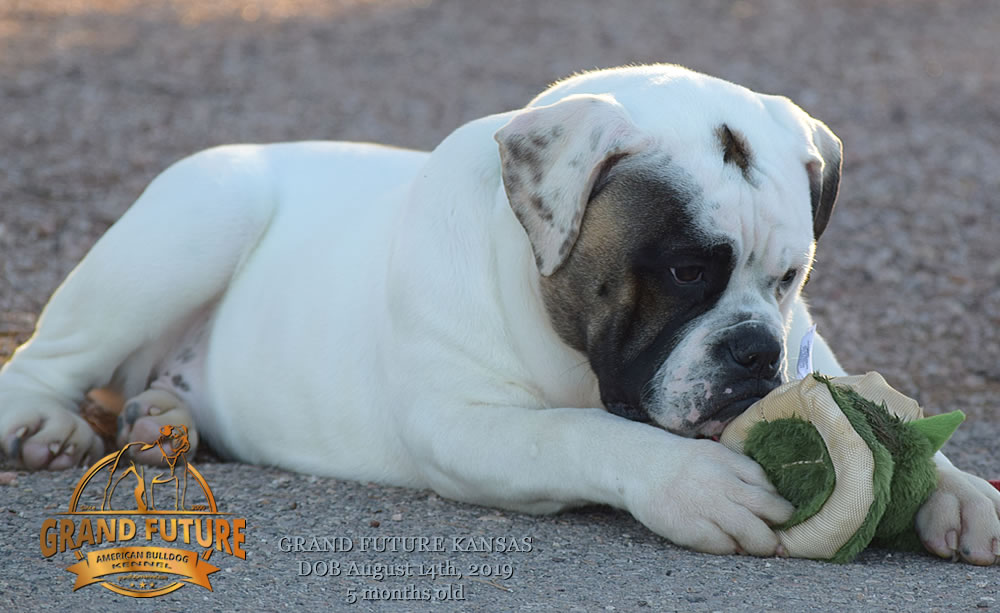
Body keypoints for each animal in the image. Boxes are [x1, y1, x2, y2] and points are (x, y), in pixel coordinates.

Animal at [3, 64, 996, 560]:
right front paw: (694, 487)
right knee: (44, 360)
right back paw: (52, 426)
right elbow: (578, 434)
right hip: (203, 210)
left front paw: (960, 490)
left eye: (791, 277)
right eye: (685, 271)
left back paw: (160, 418)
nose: (757, 351)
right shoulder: (465, 424)